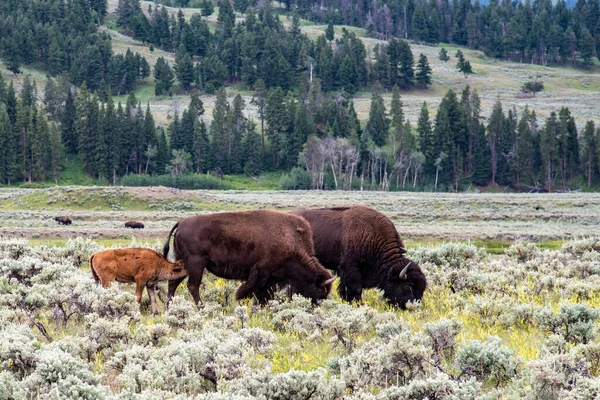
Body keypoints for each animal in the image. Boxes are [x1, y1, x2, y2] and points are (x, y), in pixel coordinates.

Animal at [162, 209, 336, 306]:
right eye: (319, 290)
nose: (315, 306)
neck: (291, 241)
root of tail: (182, 222)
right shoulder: (261, 272)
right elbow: (250, 291)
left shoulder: (270, 279)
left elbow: (264, 295)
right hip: (196, 262)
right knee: (192, 286)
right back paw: (201, 308)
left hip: (183, 262)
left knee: (173, 283)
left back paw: (169, 307)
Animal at [290, 206, 426, 310]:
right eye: (408, 286)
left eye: (422, 288)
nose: (413, 307)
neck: (371, 234)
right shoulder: (350, 268)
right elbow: (354, 289)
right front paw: (356, 304)